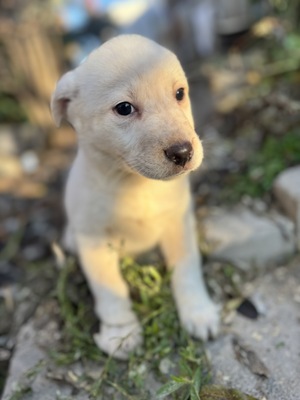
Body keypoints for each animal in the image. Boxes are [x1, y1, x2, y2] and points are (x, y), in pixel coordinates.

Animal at [51, 34, 219, 360]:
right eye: (124, 108)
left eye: (179, 93)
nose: (183, 152)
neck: (135, 185)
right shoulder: (94, 242)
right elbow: (110, 289)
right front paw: (120, 334)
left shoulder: (178, 224)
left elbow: (187, 269)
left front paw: (198, 312)